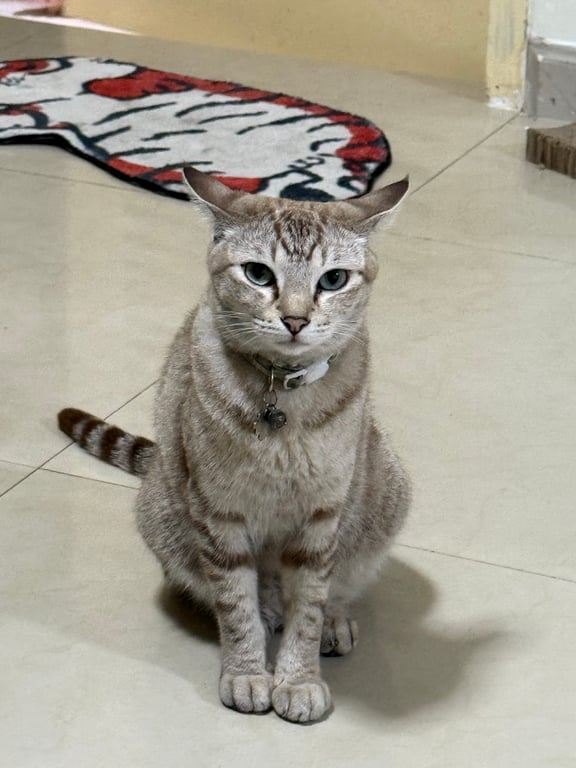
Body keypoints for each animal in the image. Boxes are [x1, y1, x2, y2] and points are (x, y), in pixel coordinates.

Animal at [58, 166, 411, 723]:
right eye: (258, 274)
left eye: (333, 280)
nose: (295, 319)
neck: (282, 398)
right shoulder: (219, 514)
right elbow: (235, 605)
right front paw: (247, 673)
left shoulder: (322, 517)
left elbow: (309, 607)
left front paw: (298, 679)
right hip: (162, 515)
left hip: (386, 489)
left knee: (339, 586)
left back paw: (334, 623)